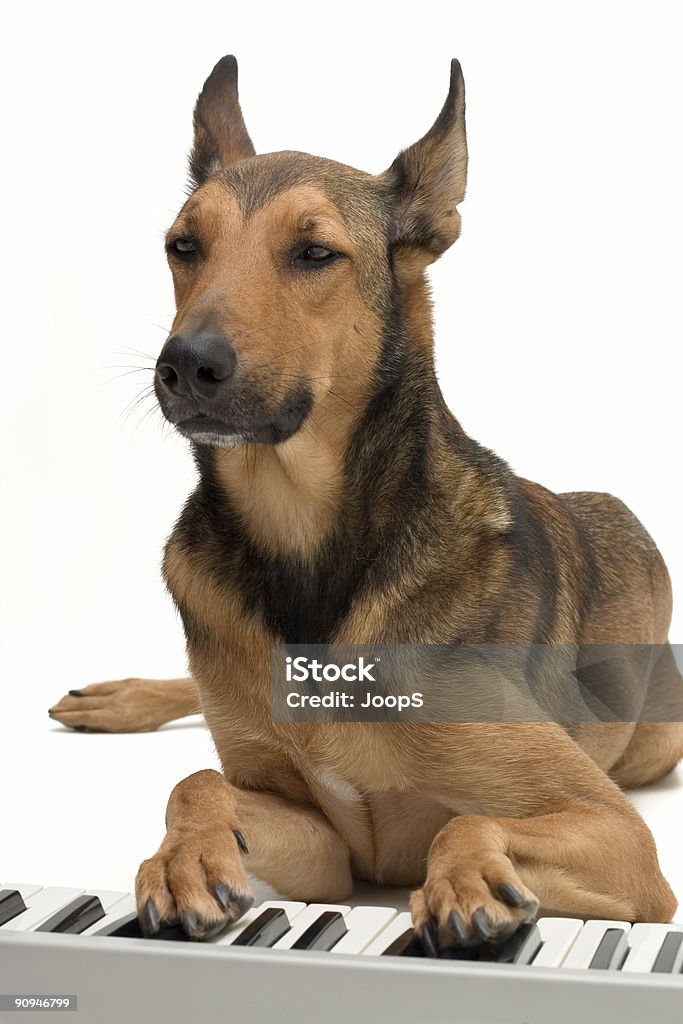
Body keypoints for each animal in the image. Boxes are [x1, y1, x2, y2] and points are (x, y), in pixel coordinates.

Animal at [49, 56, 683, 950]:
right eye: (183, 246)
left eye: (314, 252)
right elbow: (195, 779)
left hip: (655, 742)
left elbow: (466, 822)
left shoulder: (616, 831)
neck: (308, 552)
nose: (184, 367)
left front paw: (465, 882)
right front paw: (183, 861)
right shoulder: (325, 849)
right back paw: (116, 698)